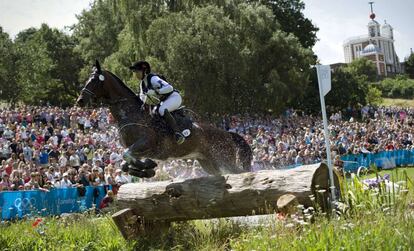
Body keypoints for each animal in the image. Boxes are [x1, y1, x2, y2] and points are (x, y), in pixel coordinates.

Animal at [77, 60, 252, 178]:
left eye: (94, 81)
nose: (80, 101)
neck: (130, 114)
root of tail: (227, 134)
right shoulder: (139, 150)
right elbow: (125, 163)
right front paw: (148, 168)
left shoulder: (145, 144)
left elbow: (126, 155)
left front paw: (148, 166)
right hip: (208, 162)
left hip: (223, 158)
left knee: (239, 172)